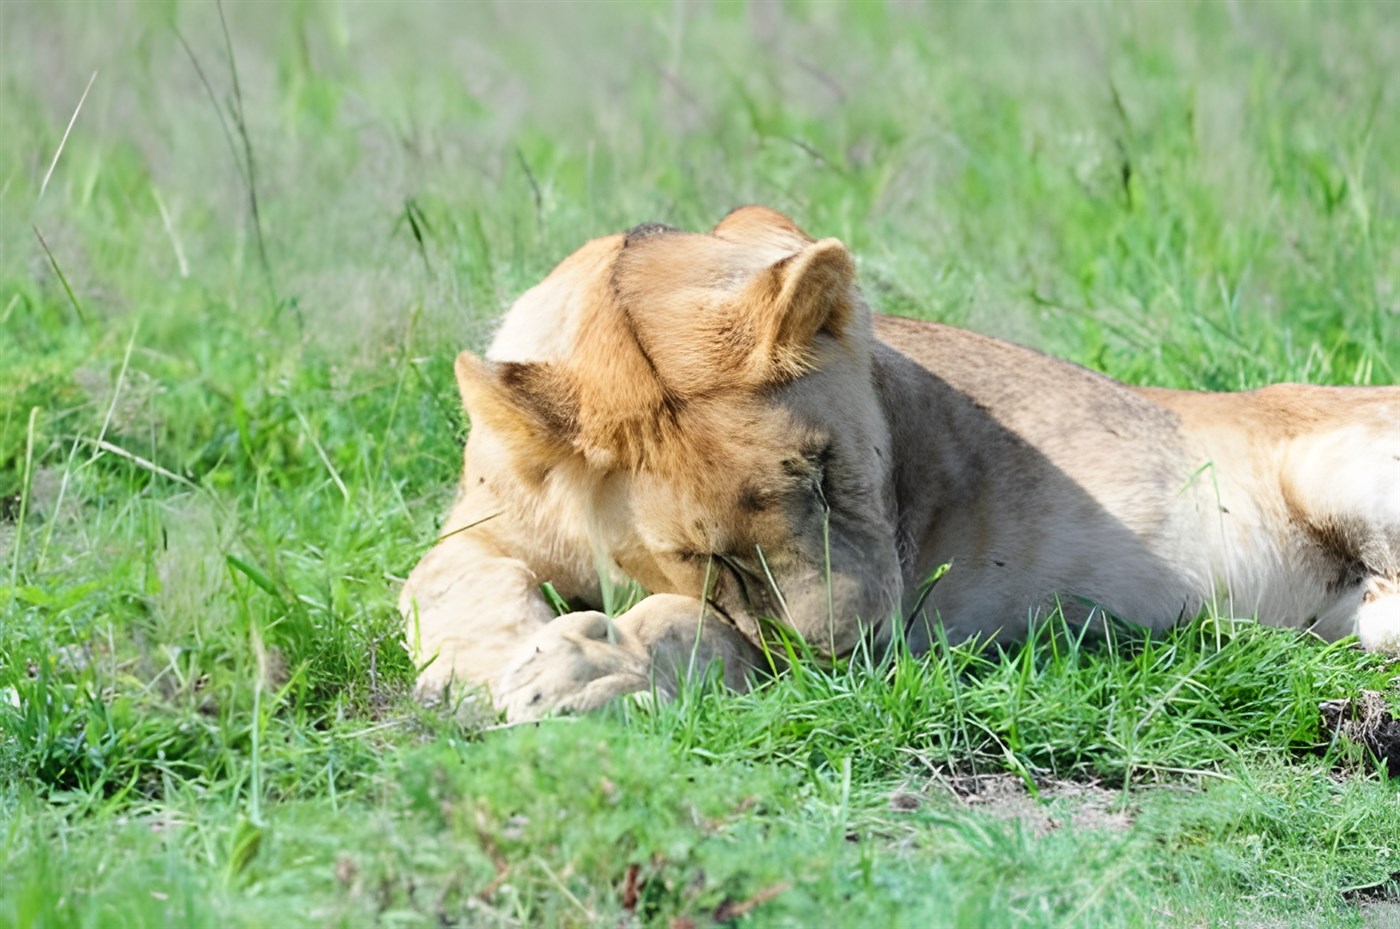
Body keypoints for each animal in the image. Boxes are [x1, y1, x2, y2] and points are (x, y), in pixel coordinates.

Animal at [400, 206, 1400, 722]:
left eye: (827, 470)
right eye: (700, 552)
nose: (848, 648)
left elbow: (709, 630)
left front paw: (590, 670)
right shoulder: (477, 530)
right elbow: (451, 584)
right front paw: (486, 671)